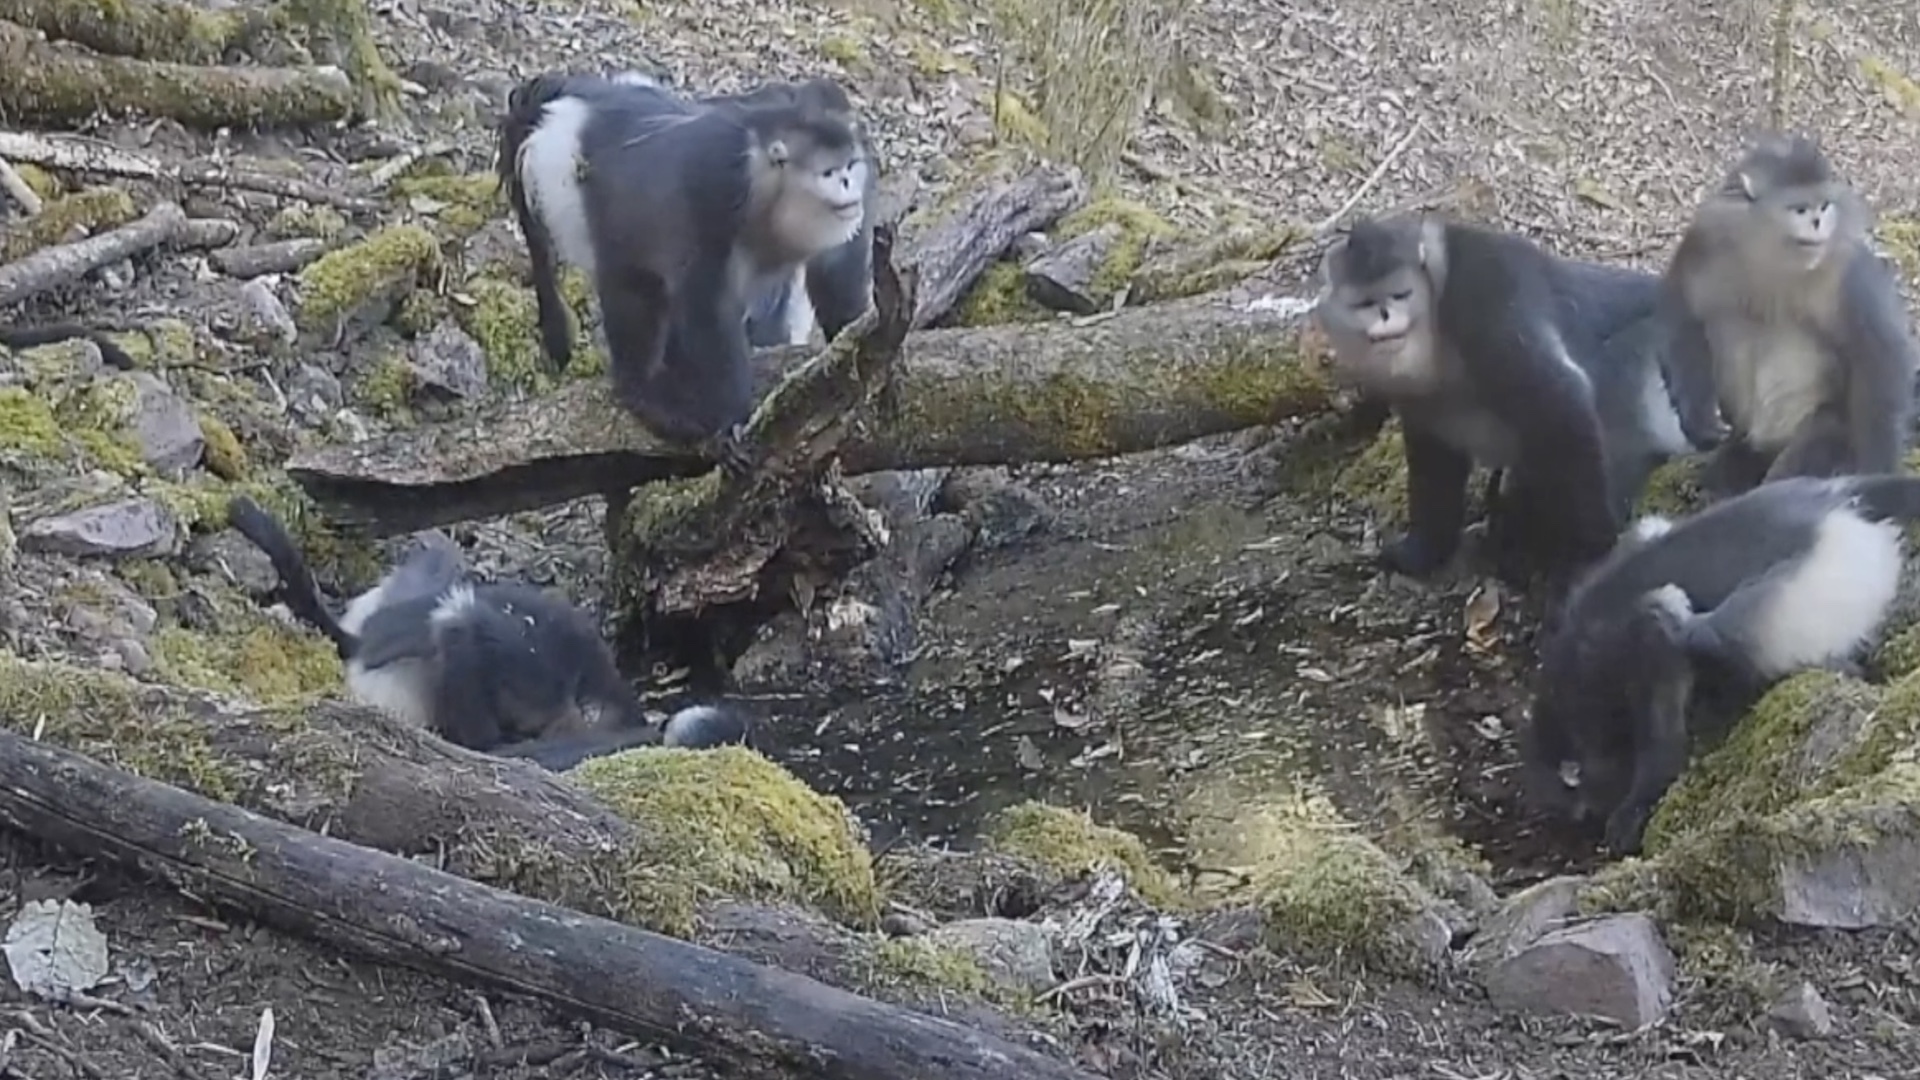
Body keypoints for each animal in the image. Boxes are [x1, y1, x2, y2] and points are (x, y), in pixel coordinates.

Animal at [497, 72, 871, 473]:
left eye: (850, 166)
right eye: (829, 172)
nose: (847, 183)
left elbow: (836, 277)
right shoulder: (712, 189)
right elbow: (707, 306)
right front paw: (729, 423)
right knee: (635, 291)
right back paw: (645, 392)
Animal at [1314, 215, 1695, 589]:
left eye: (1400, 294)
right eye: (1365, 304)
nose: (1385, 315)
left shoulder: (1485, 289)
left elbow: (1559, 399)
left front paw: (1590, 549)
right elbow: (1434, 460)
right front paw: (1423, 552)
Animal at [1519, 473, 1920, 855]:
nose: (1578, 820)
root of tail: (1837, 502)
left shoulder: (1648, 647)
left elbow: (1660, 736)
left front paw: (1633, 810)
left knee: (1713, 631)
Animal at [1658, 134, 1918, 497]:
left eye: (1823, 206)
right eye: (1800, 209)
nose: (1818, 222)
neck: (1773, 255)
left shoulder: (1847, 270)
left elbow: (1880, 357)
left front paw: (1875, 470)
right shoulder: (1706, 237)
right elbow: (1684, 313)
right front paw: (1699, 419)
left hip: (1829, 426)